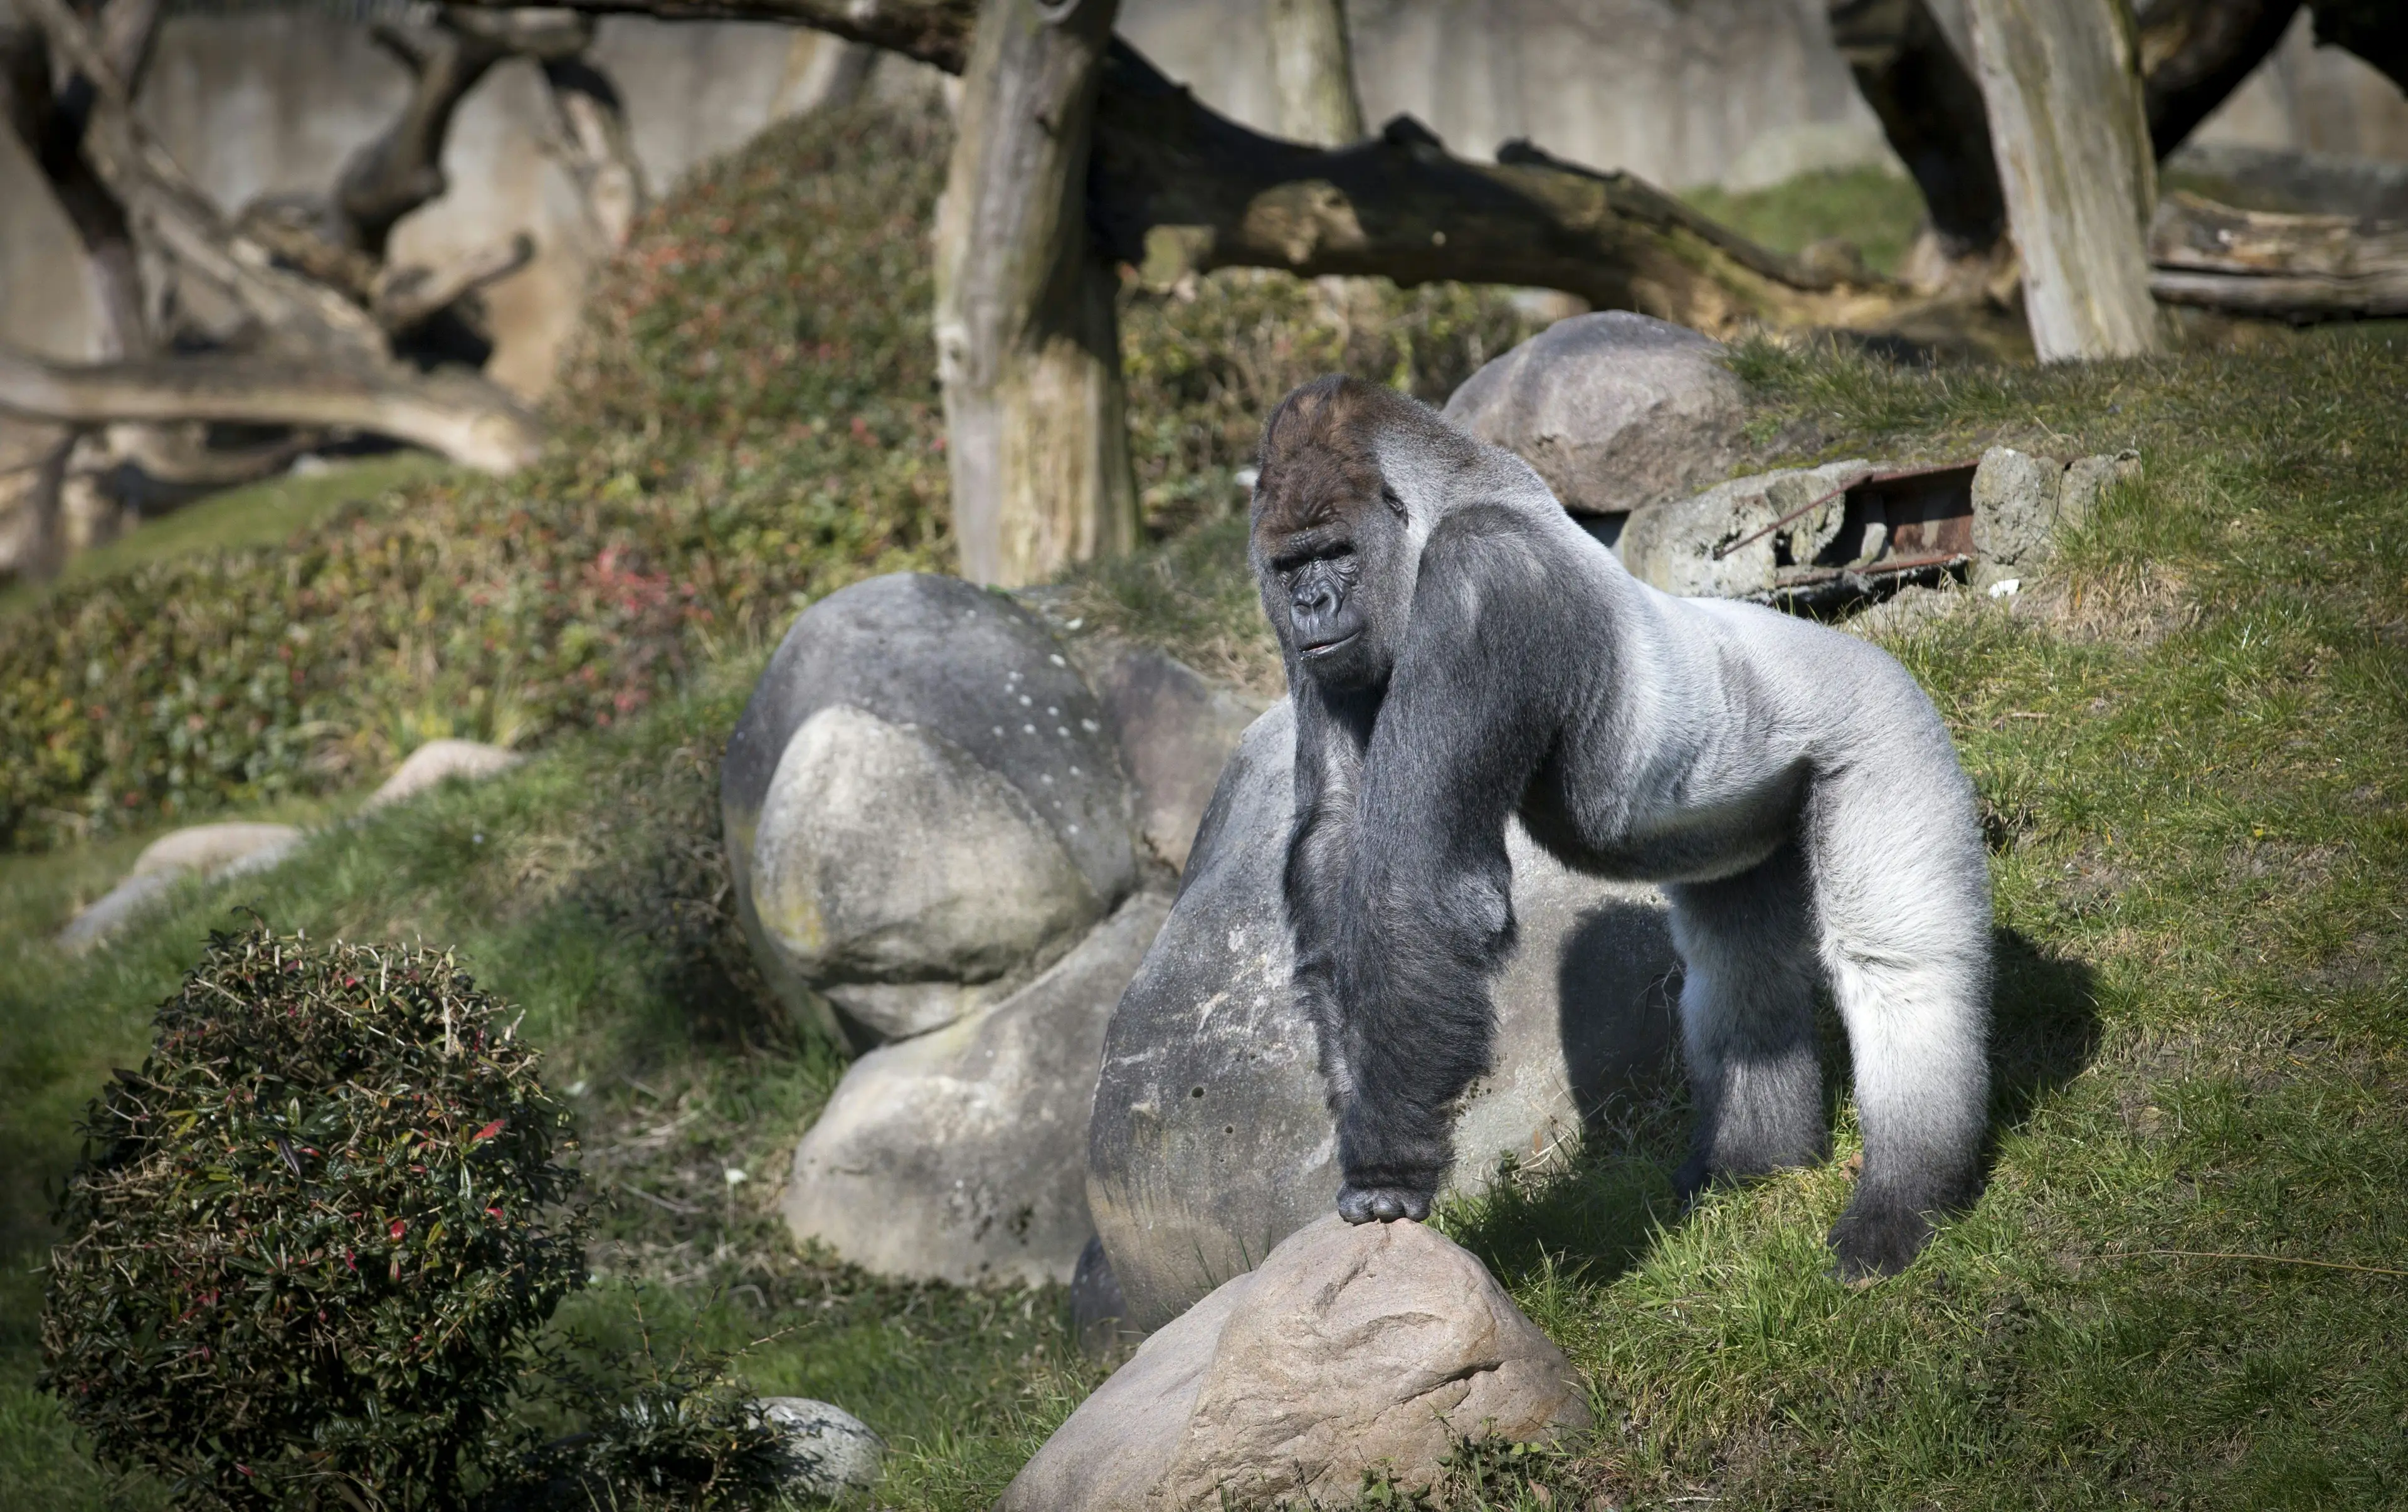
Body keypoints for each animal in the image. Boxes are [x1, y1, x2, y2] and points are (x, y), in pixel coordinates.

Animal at [1252, 375, 1992, 1279]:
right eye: (1290, 566)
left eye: (1336, 553)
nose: (1311, 603)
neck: (1443, 499)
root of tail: (1878, 652)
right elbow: (1333, 838)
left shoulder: (1484, 579)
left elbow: (1418, 883)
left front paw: (1386, 1164)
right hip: (1747, 820)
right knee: (1737, 961)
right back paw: (1752, 1163)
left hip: (1889, 729)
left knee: (1897, 964)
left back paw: (1902, 1199)